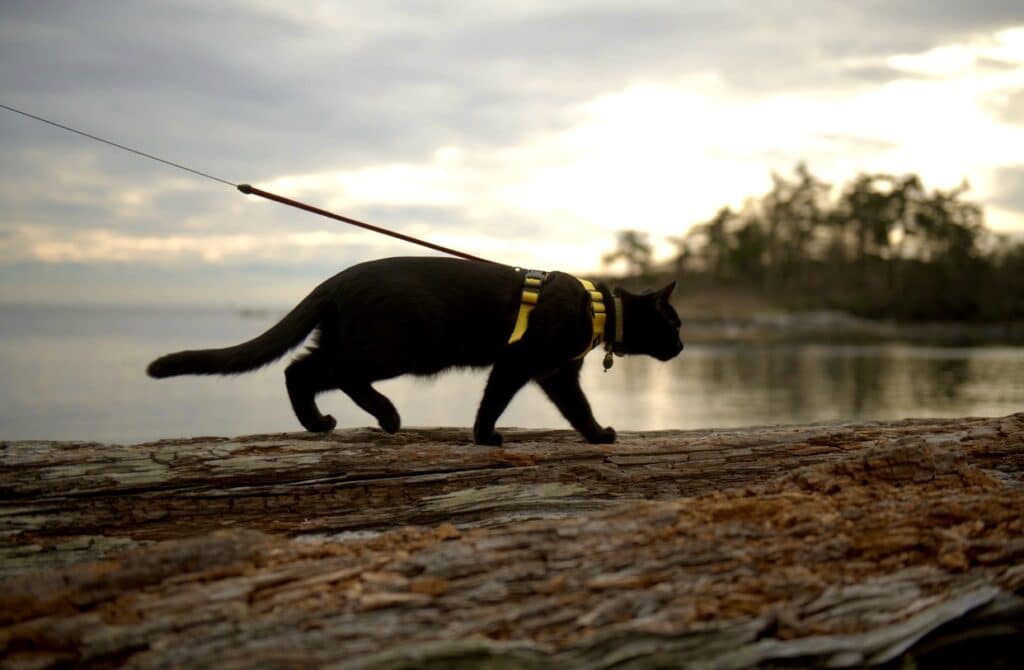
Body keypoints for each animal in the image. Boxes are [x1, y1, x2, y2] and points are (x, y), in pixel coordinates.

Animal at [146, 257, 679, 446]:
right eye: (674, 324)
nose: (680, 344)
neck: (599, 308)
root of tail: (337, 279)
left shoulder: (556, 374)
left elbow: (577, 408)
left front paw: (597, 434)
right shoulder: (519, 361)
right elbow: (494, 401)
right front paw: (484, 438)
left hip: (358, 341)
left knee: (302, 368)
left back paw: (323, 423)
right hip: (396, 348)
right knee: (323, 373)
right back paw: (385, 415)